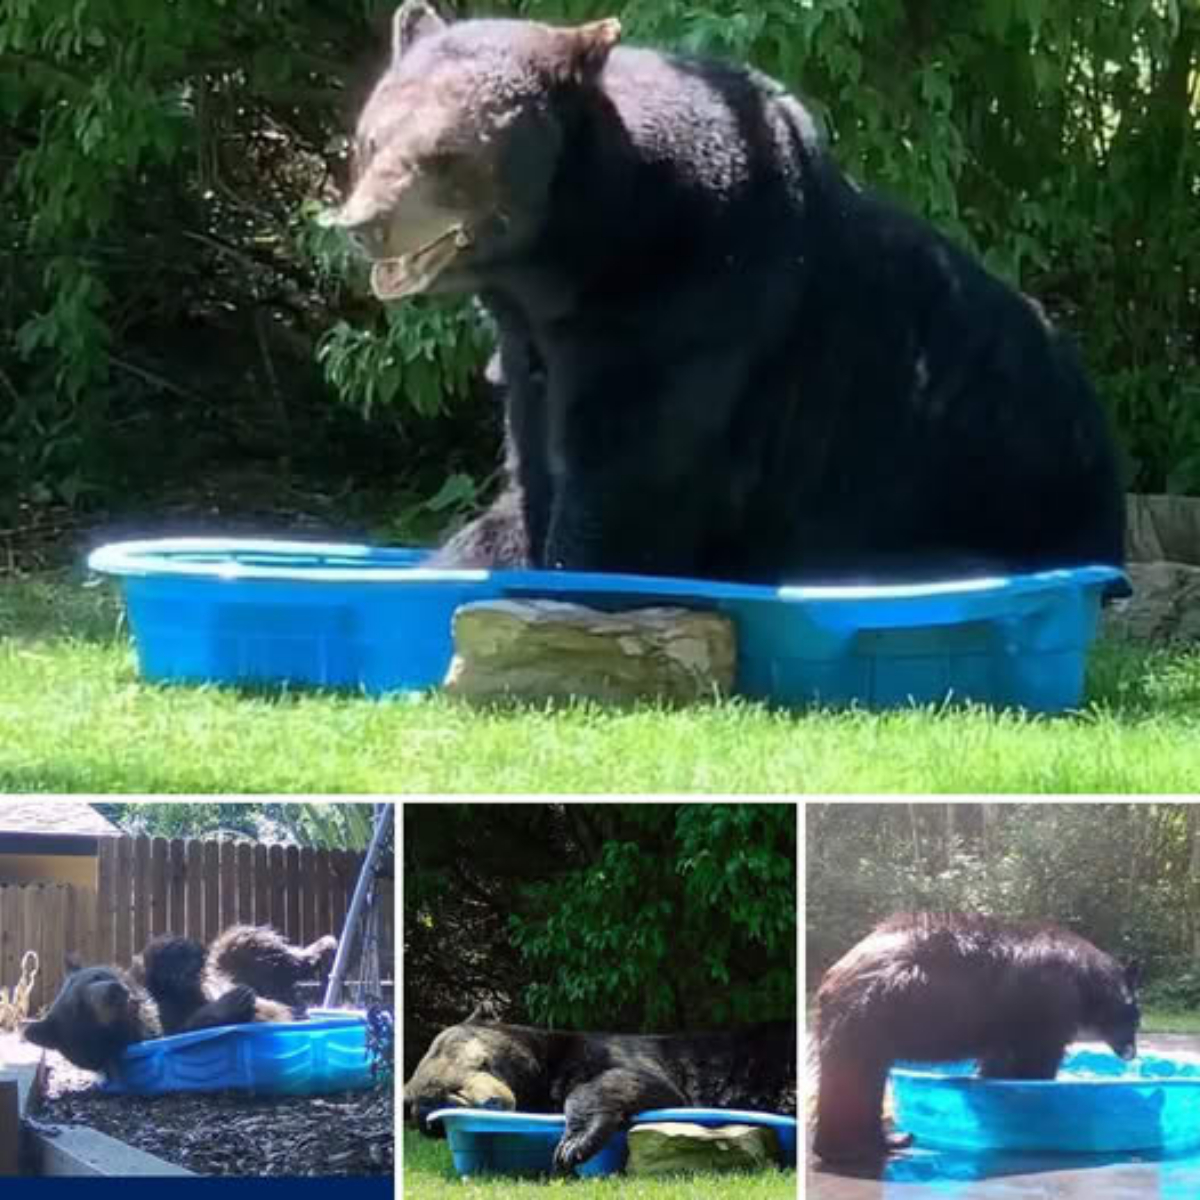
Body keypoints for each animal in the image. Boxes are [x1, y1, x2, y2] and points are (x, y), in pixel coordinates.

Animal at [24, 921, 343, 1075]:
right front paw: (235, 1000)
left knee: (252, 943)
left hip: (241, 959)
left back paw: (324, 947)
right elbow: (194, 1024)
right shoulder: (158, 1032)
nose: (115, 991)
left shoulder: (163, 988)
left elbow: (163, 962)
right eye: (80, 1009)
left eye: (96, 976)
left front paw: (180, 953)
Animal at [326, 2, 1123, 588]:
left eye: (444, 156)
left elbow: (631, 473)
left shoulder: (691, 306)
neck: (578, 256)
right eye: (371, 140)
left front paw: (580, 568)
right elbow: (530, 476)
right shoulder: (531, 346)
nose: (365, 224)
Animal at [403, 1012, 796, 1171]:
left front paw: (573, 1145)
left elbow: (640, 1082)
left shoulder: (611, 1051)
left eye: (482, 1063)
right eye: (450, 1096)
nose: (494, 1102)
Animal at [811, 907, 1137, 1161]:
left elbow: (1000, 1061)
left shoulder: (1005, 1025)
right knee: (856, 1078)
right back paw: (862, 1146)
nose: (1132, 1053)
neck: (1085, 980)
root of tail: (835, 973)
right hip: (872, 1013)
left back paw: (883, 1140)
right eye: (1133, 1017)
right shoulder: (1049, 1000)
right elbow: (1037, 1058)